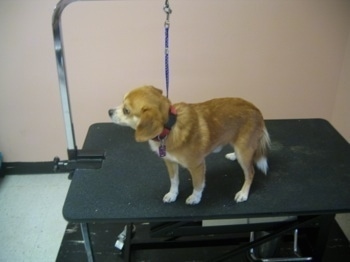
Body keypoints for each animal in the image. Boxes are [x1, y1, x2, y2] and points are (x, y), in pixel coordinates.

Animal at [108, 86, 270, 205]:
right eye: (122, 102)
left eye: (126, 110)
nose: (109, 111)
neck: (170, 127)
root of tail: (256, 109)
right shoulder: (170, 162)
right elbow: (174, 181)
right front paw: (172, 194)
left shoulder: (197, 166)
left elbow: (198, 184)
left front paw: (195, 198)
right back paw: (232, 155)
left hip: (244, 151)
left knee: (250, 173)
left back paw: (243, 193)